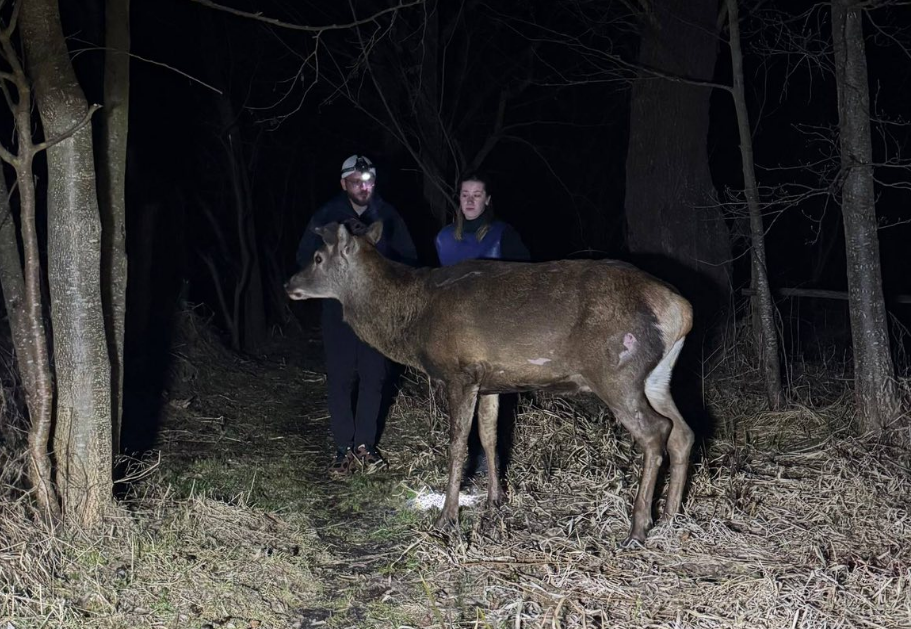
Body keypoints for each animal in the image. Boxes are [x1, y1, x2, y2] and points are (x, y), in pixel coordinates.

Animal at [285, 221, 695, 545]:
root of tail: (682, 309)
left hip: (616, 369)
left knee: (656, 431)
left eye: (317, 258)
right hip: (657, 376)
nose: (289, 283)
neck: (412, 321)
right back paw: (672, 517)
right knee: (683, 431)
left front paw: (447, 517)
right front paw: (495, 500)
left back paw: (638, 528)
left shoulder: (460, 372)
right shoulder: (491, 382)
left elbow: (458, 445)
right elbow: (490, 437)